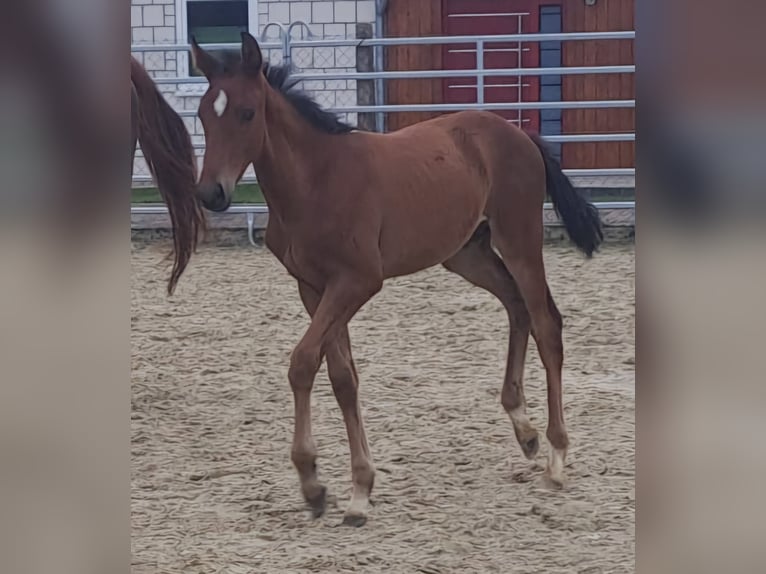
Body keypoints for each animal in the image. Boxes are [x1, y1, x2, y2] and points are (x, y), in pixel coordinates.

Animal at [190, 32, 608, 528]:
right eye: (202, 114)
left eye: (247, 113)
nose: (211, 193)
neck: (315, 181)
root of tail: (519, 133)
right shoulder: (313, 287)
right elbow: (342, 376)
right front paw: (352, 489)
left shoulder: (357, 282)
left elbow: (303, 362)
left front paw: (315, 482)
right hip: (467, 253)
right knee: (516, 306)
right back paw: (524, 430)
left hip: (520, 240)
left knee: (547, 324)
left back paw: (557, 457)